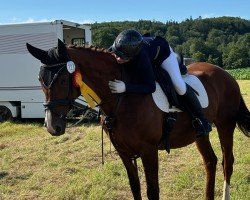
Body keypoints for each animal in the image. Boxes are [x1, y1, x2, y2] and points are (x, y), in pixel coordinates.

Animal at [26, 39, 249, 199]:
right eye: (40, 79)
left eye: (63, 80)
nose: (52, 127)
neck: (122, 99)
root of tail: (226, 75)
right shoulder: (124, 152)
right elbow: (135, 188)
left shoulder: (149, 151)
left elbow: (152, 191)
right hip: (199, 134)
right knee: (210, 161)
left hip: (225, 125)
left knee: (227, 162)